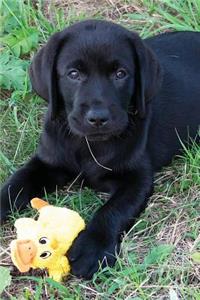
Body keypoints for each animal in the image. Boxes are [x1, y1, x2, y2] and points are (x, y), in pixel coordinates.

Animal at [0, 19, 199, 278]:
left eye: (120, 74)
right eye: (73, 74)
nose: (98, 117)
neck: (89, 144)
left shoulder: (137, 179)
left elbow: (113, 210)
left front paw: (92, 247)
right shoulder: (46, 162)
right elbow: (14, 185)